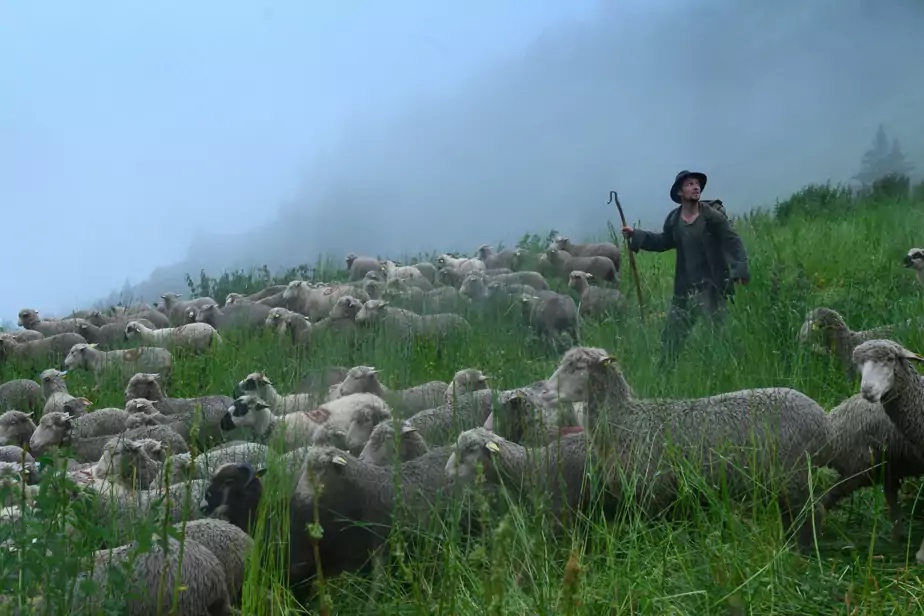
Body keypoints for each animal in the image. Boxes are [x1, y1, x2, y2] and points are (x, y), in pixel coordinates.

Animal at [552, 346, 833, 549]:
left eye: (577, 367)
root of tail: (823, 422)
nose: (545, 389)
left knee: (812, 512)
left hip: (794, 474)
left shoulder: (654, 493)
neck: (625, 420)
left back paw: (803, 552)